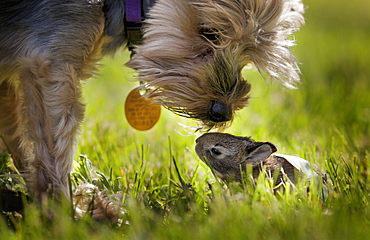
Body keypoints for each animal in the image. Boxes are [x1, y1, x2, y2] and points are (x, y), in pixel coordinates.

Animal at [0, 0, 304, 199]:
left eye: (248, 51)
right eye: (210, 32)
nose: (222, 112)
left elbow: (18, 139)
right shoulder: (50, 63)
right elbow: (53, 149)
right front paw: (64, 212)